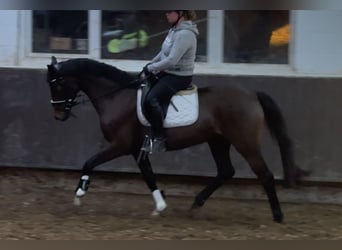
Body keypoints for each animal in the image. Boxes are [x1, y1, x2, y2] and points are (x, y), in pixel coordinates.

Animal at [46, 56, 308, 223]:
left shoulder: (120, 145)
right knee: (226, 171)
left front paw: (80, 193)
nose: (58, 115)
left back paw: (278, 216)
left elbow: (89, 162)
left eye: (57, 84)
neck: (117, 97)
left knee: (264, 174)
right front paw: (160, 207)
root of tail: (252, 94)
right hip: (218, 141)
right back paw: (196, 204)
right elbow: (149, 176)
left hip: (245, 143)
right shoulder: (136, 149)